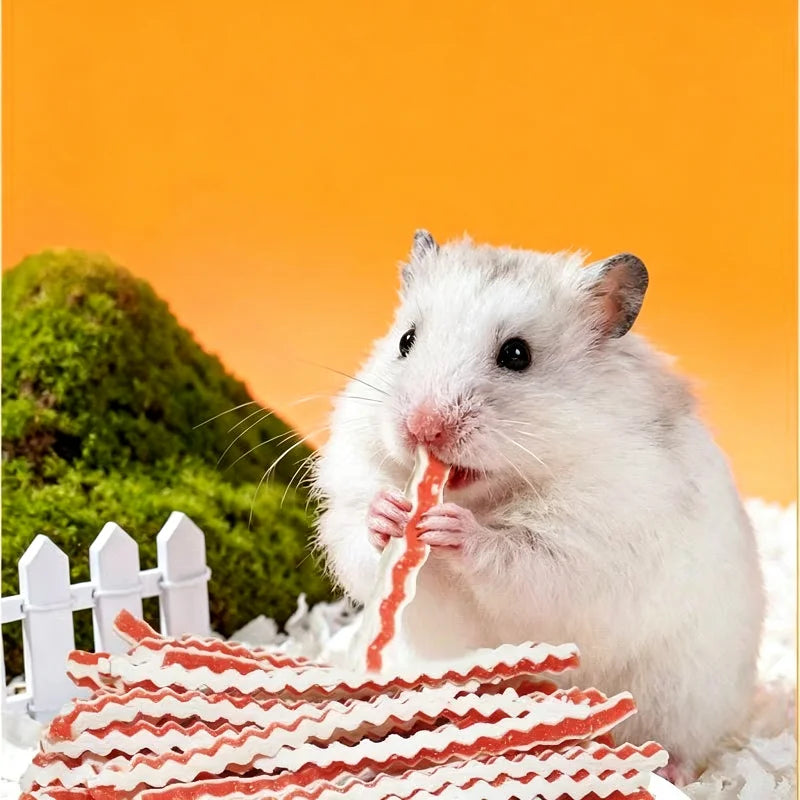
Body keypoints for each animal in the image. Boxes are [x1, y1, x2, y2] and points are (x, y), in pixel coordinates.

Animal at [312, 230, 765, 784]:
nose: (422, 427)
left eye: (517, 354)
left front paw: (450, 527)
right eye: (405, 341)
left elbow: (519, 559)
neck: (489, 493)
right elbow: (363, 539)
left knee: (678, 739)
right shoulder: (355, 486)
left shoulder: (587, 541)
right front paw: (390, 514)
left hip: (685, 690)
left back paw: (670, 771)